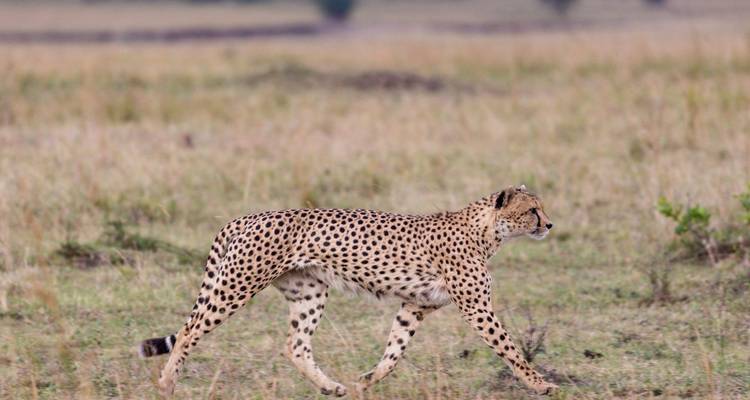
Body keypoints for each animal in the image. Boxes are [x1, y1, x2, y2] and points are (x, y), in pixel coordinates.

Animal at [139, 185, 558, 397]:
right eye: (532, 210)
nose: (550, 224)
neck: (486, 230)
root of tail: (248, 216)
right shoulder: (476, 307)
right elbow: (511, 349)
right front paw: (541, 383)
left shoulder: (415, 305)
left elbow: (395, 351)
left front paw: (367, 380)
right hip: (237, 284)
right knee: (190, 330)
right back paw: (167, 382)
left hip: (309, 292)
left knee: (295, 346)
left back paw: (330, 387)